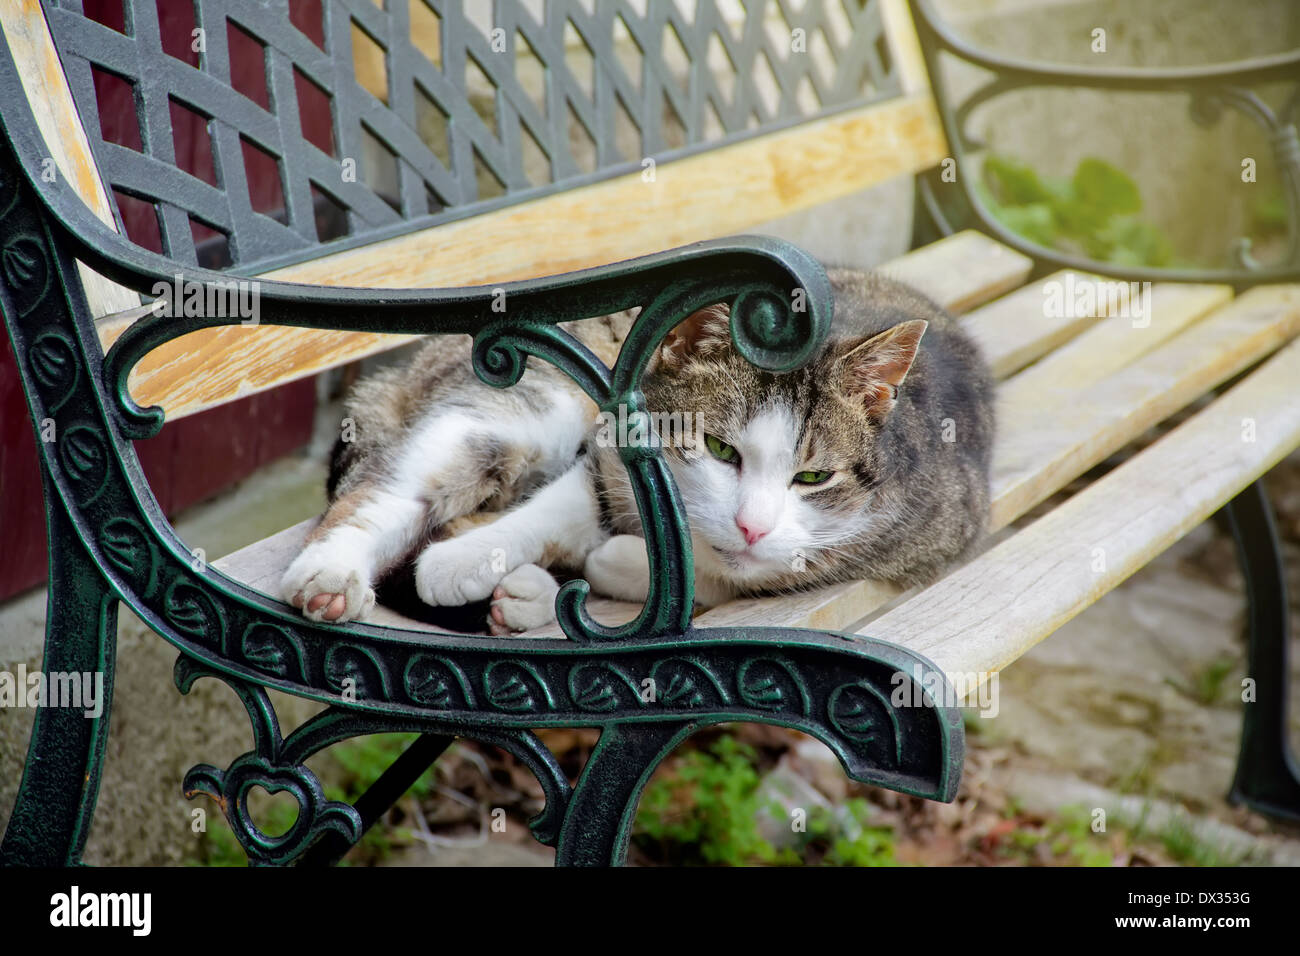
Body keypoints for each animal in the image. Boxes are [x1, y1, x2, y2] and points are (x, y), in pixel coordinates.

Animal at [282, 267, 993, 634]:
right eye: (719, 448)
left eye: (813, 477)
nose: (751, 525)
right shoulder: (612, 447)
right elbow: (565, 504)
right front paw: (458, 564)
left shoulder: (938, 529)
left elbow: (742, 574)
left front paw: (622, 561)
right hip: (535, 396)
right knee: (400, 483)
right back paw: (332, 576)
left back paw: (527, 595)